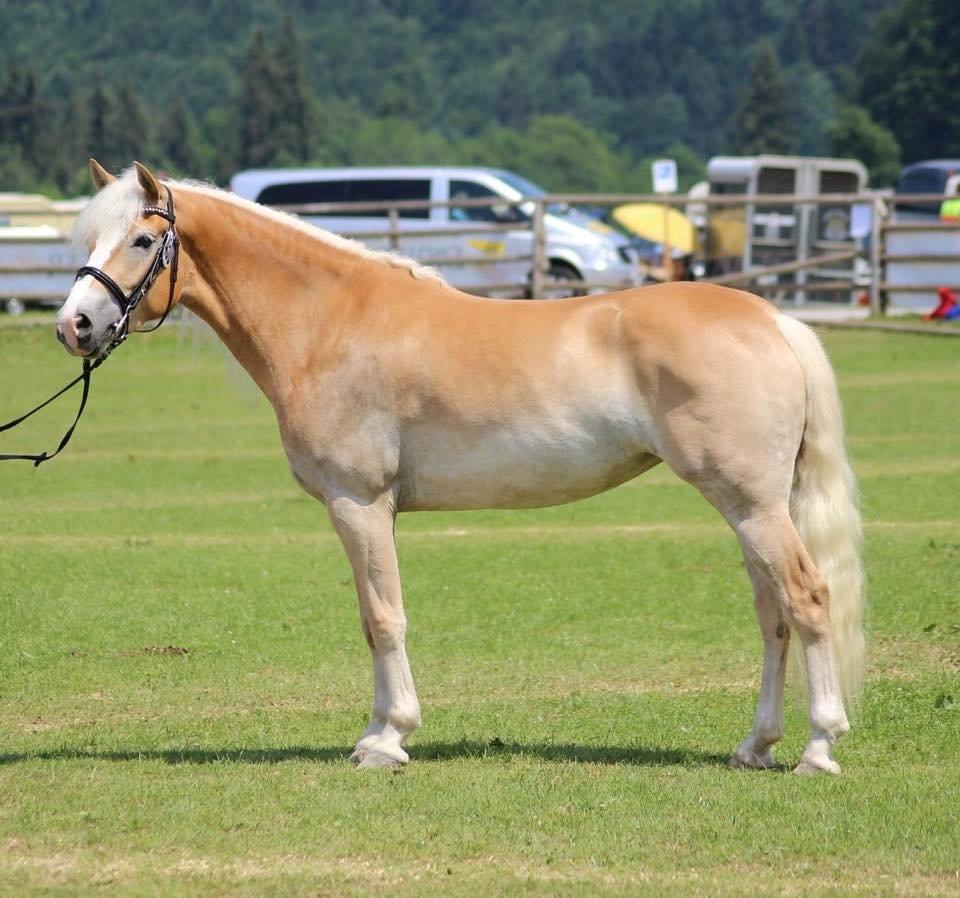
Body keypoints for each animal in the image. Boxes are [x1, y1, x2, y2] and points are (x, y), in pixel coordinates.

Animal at [54, 161, 864, 768]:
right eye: (89, 237)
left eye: (141, 239)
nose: (74, 326)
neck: (328, 321)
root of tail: (773, 319)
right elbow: (378, 616)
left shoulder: (359, 503)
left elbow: (381, 618)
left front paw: (385, 739)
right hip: (751, 508)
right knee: (773, 615)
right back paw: (755, 746)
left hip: (752, 506)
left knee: (806, 599)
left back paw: (819, 747)